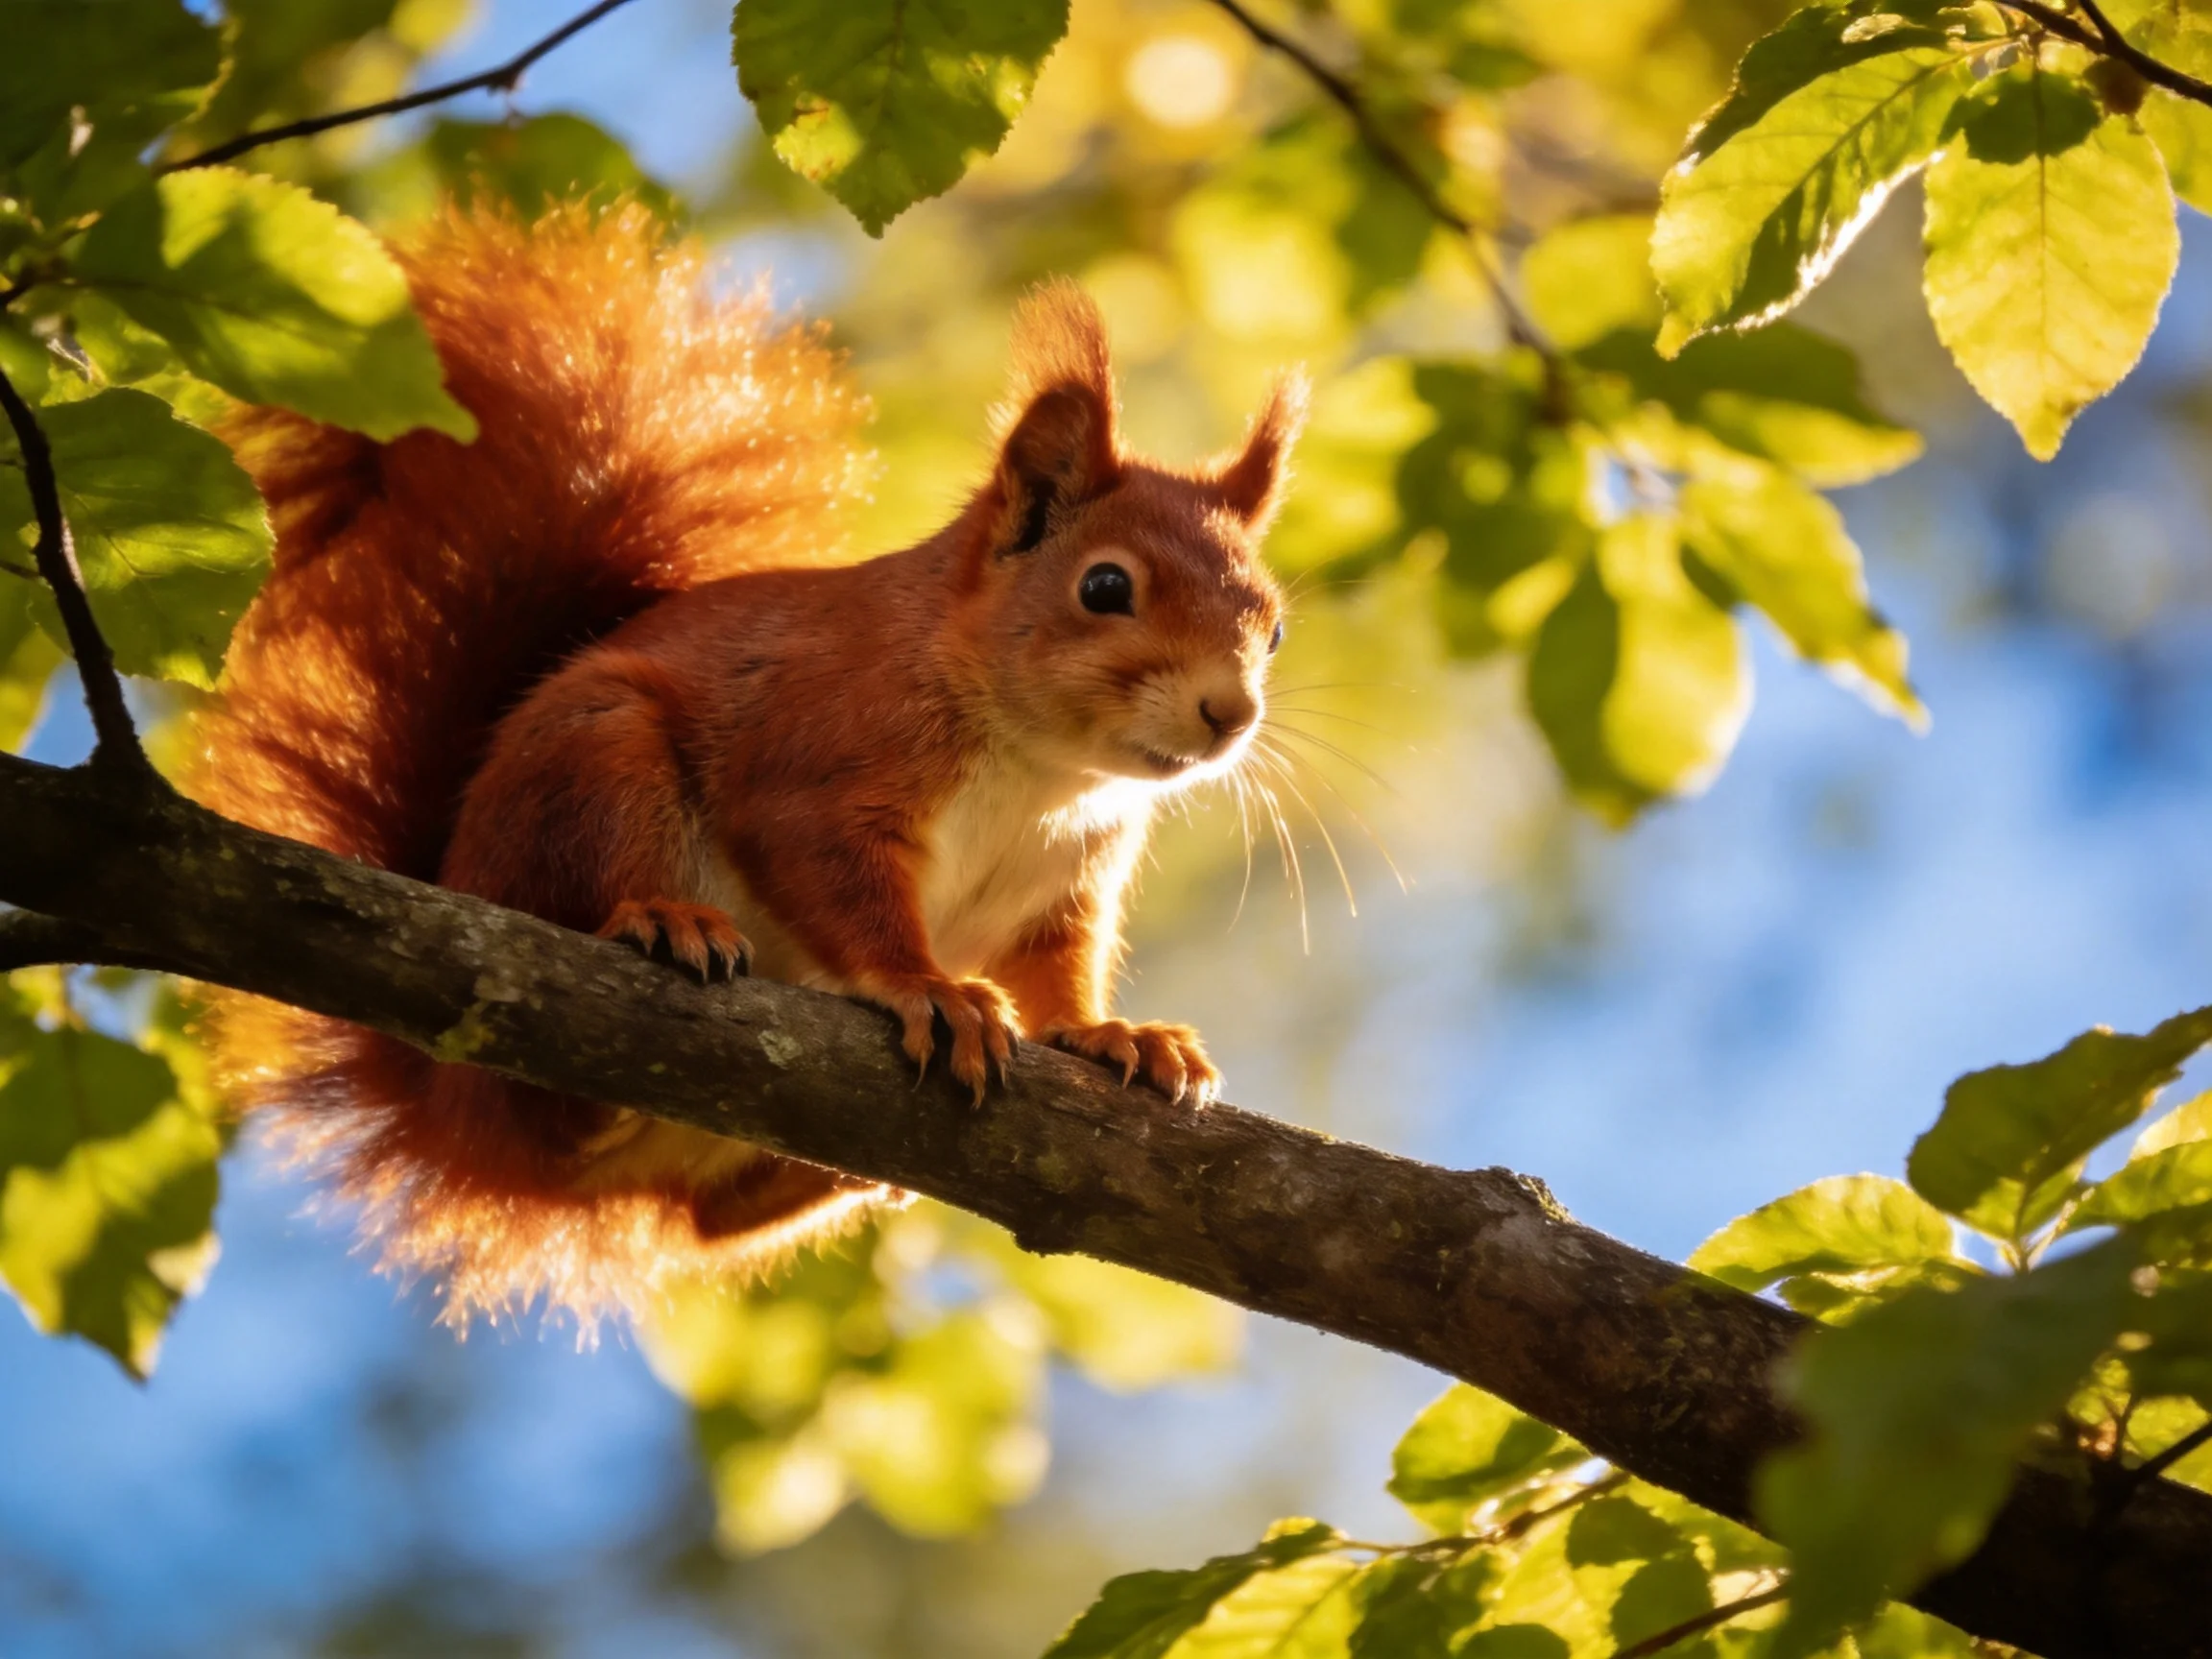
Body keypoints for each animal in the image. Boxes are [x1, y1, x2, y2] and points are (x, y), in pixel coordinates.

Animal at [189, 202, 1304, 1326]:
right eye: (1105, 586)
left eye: (1275, 628)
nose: (1229, 714)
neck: (1044, 773)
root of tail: (443, 1106)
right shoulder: (822, 755)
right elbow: (831, 876)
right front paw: (926, 985)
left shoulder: (1064, 885)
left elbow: (1059, 969)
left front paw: (1110, 1033)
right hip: (599, 764)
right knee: (564, 1089)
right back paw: (662, 925)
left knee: (713, 1217)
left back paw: (836, 1173)